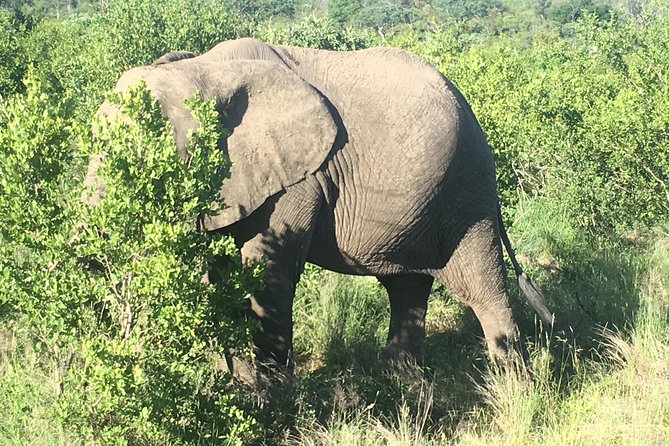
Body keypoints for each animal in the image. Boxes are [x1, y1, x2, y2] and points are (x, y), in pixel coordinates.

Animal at [85, 37, 552, 376]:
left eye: (147, 152)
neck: (203, 69)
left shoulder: (298, 179)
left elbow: (267, 274)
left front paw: (267, 407)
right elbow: (224, 275)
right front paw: (237, 388)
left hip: (467, 193)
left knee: (482, 288)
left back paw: (515, 392)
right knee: (407, 287)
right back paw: (403, 392)